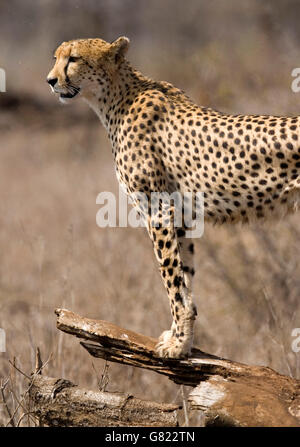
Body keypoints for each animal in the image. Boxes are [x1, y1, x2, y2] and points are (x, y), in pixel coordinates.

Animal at [47, 36, 300, 360]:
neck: (114, 98)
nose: (51, 80)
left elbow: (171, 280)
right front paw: (183, 339)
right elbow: (184, 277)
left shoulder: (158, 211)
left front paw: (177, 345)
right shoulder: (181, 215)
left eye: (74, 59)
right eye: (56, 57)